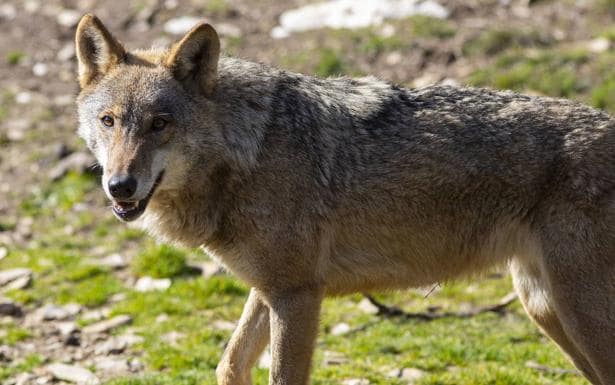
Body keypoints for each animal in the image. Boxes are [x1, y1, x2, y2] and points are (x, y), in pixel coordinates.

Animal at [76, 14, 615, 384]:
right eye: (109, 121)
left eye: (160, 124)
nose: (120, 186)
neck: (249, 151)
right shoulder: (270, 288)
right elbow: (229, 364)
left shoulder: (297, 295)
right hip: (544, 308)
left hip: (574, 312)